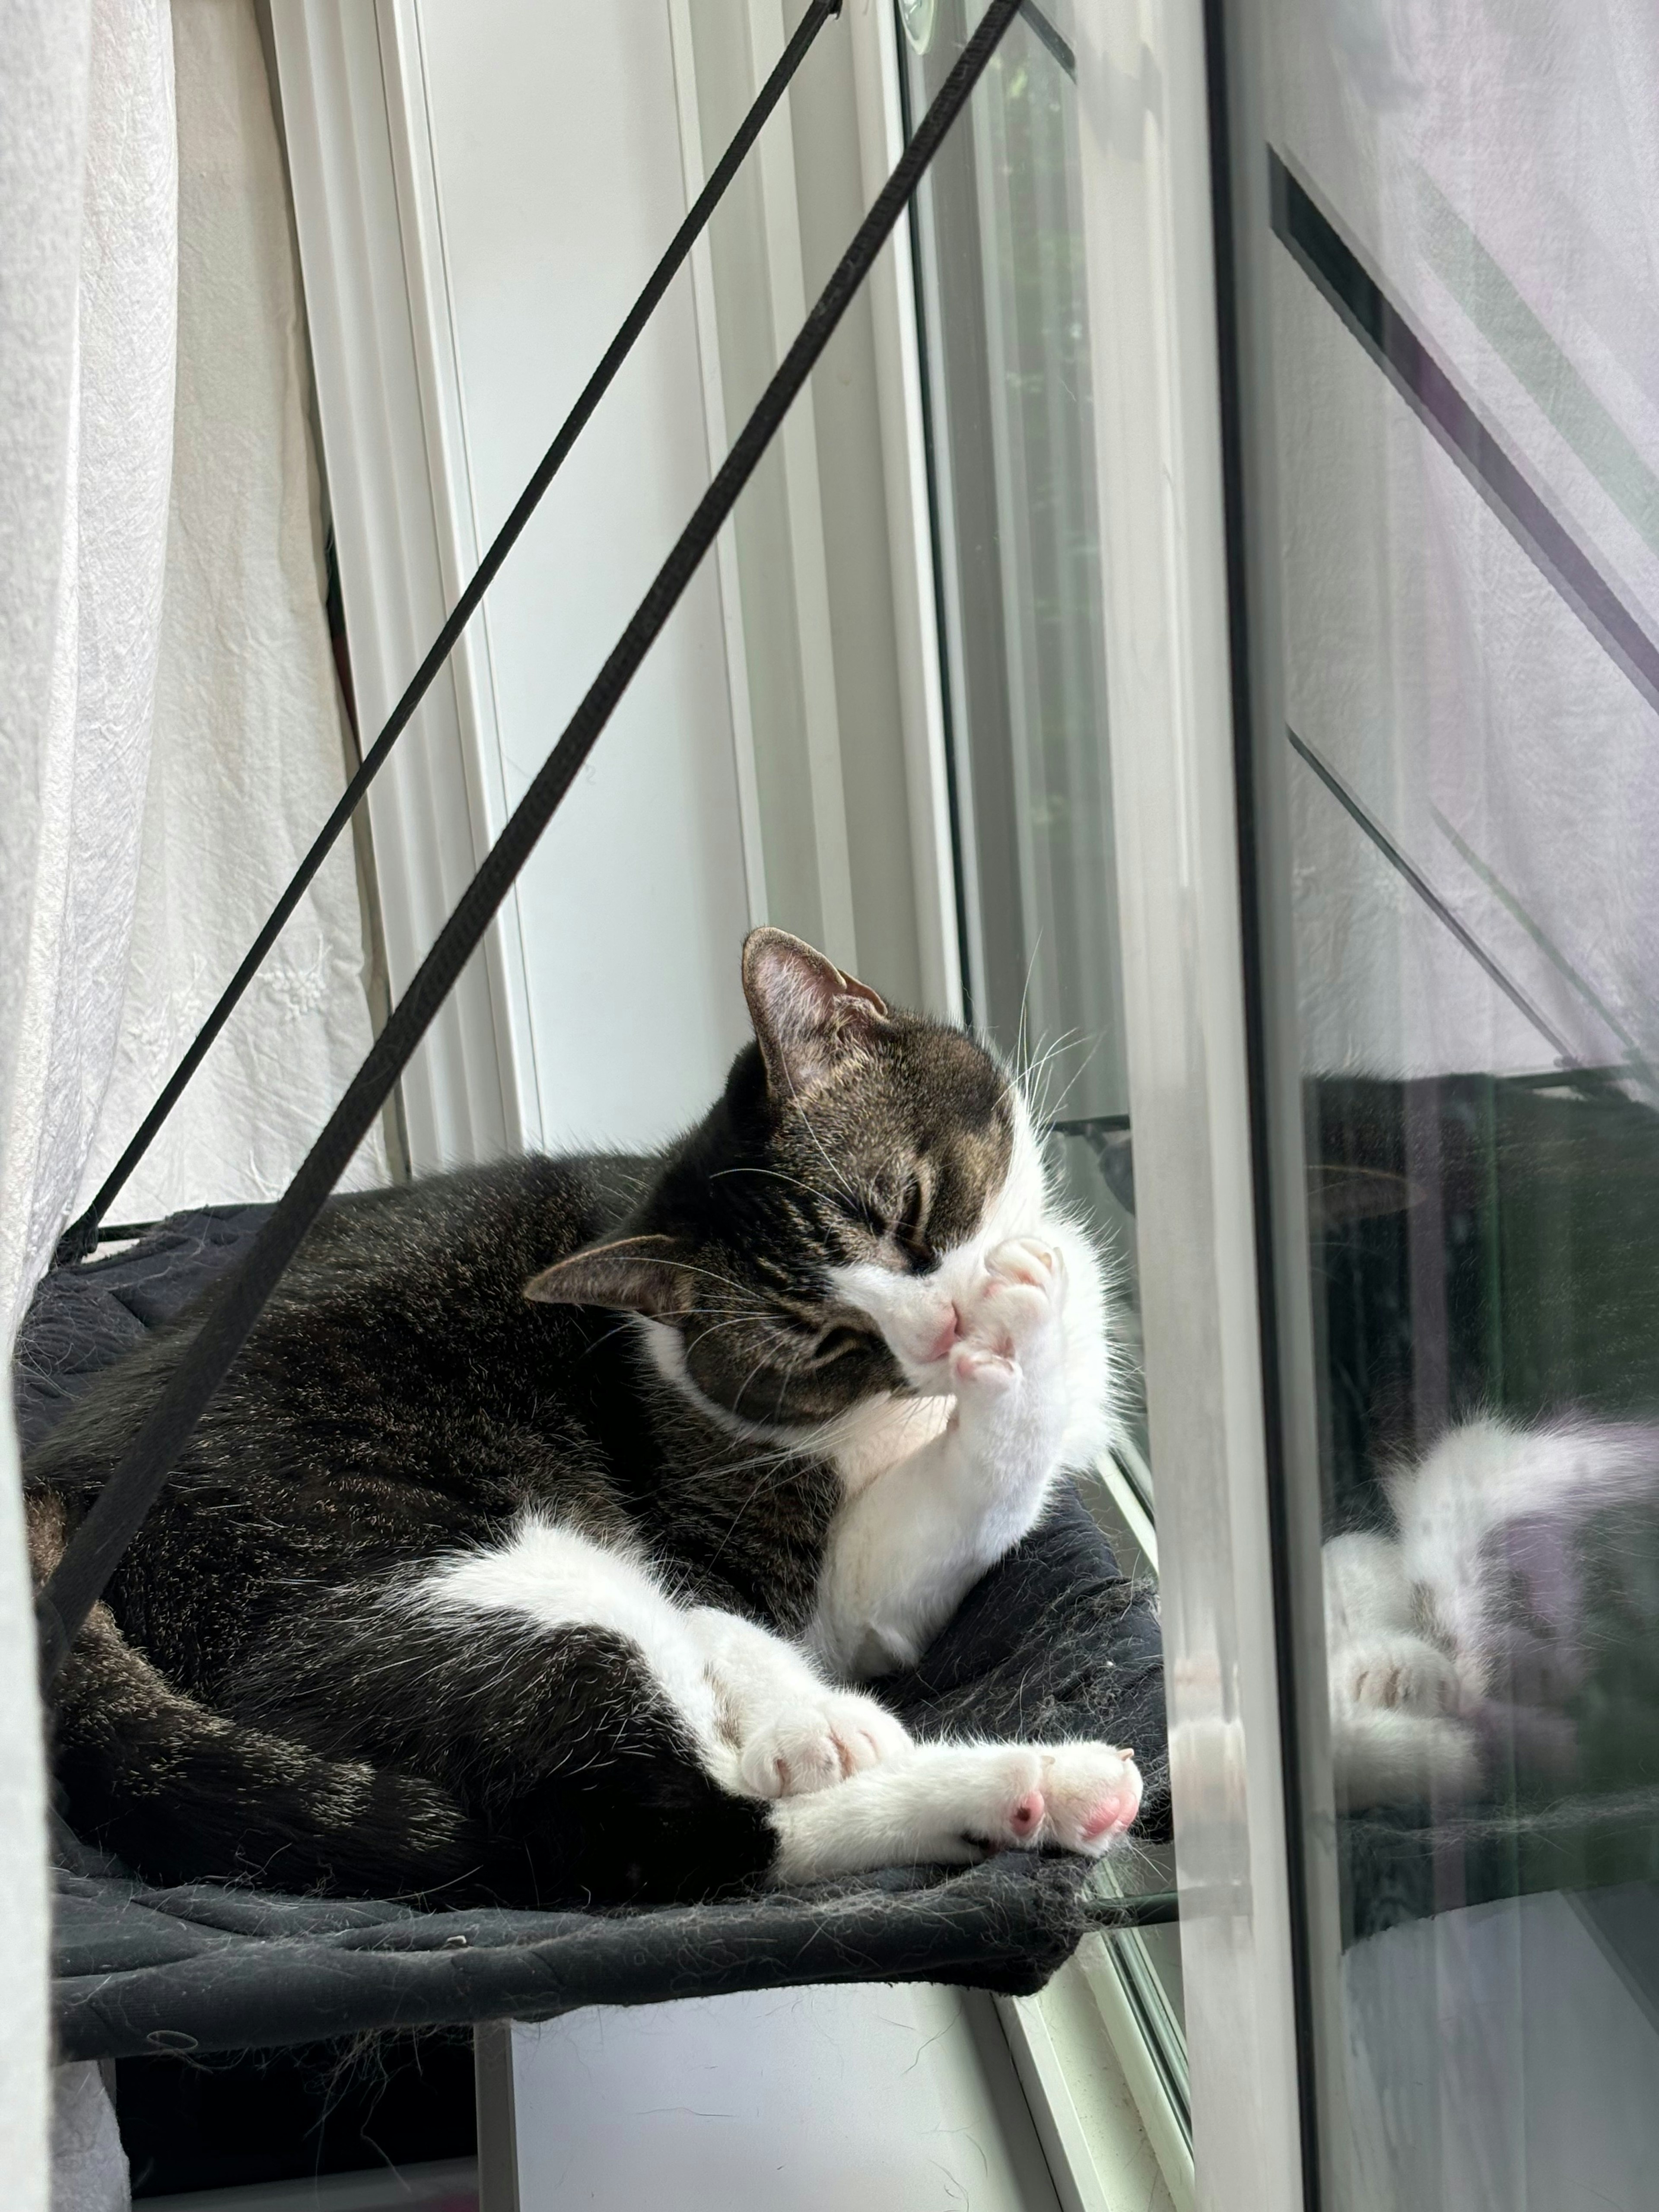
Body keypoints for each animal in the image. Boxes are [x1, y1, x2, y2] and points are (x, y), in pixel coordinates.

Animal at [29, 929, 1141, 1902]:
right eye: (819, 1338)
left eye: (907, 1211)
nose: (944, 1328)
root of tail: (57, 1486)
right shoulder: (729, 1550)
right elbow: (736, 1618)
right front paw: (809, 1720)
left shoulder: (881, 1594)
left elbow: (962, 1506)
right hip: (469, 1571)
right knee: (659, 1832)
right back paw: (1026, 1781)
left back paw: (1040, 1797)